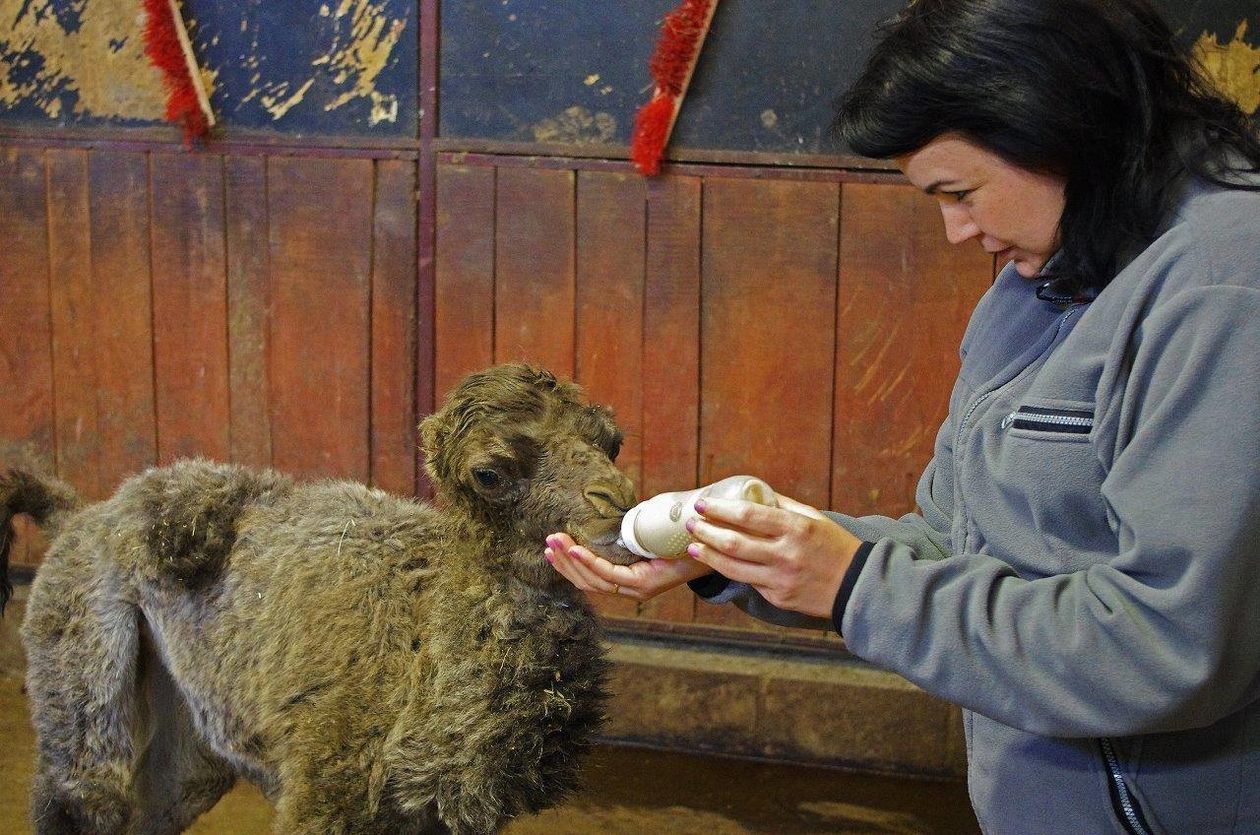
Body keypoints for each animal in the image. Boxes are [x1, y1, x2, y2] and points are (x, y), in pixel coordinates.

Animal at [2, 365, 640, 835]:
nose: (617, 501)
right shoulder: (326, 787)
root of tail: (78, 516)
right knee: (79, 795)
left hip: (187, 743)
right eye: (490, 472)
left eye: (611, 442)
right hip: (84, 673)